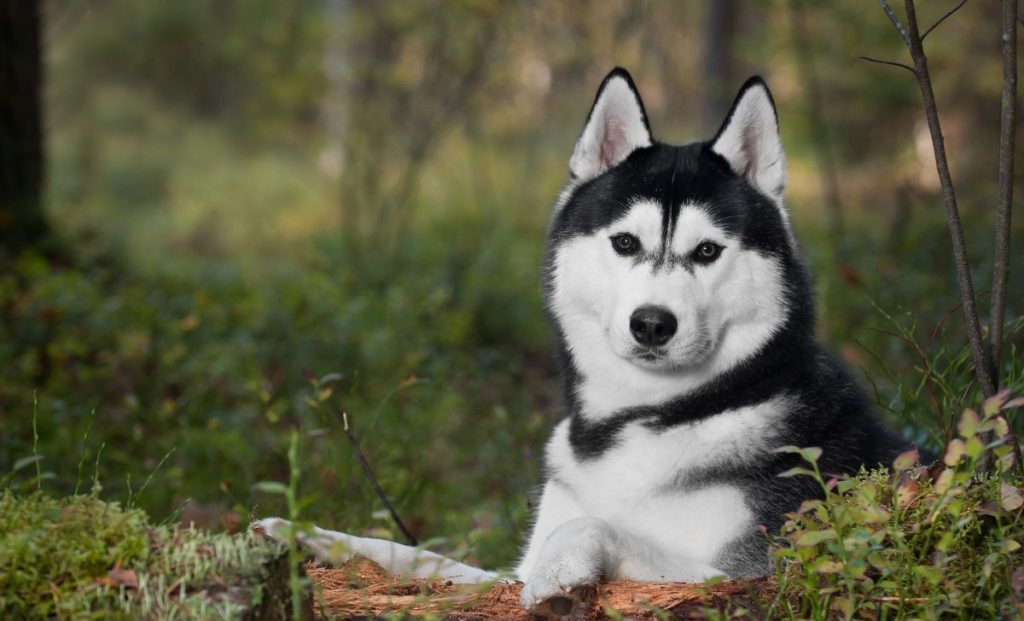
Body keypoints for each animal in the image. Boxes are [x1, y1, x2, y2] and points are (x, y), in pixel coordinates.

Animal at [251, 69, 909, 618]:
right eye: (624, 243)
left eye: (706, 251)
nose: (652, 323)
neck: (647, 418)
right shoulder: (502, 570)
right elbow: (417, 556)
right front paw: (302, 533)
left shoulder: (751, 575)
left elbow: (598, 527)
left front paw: (562, 572)